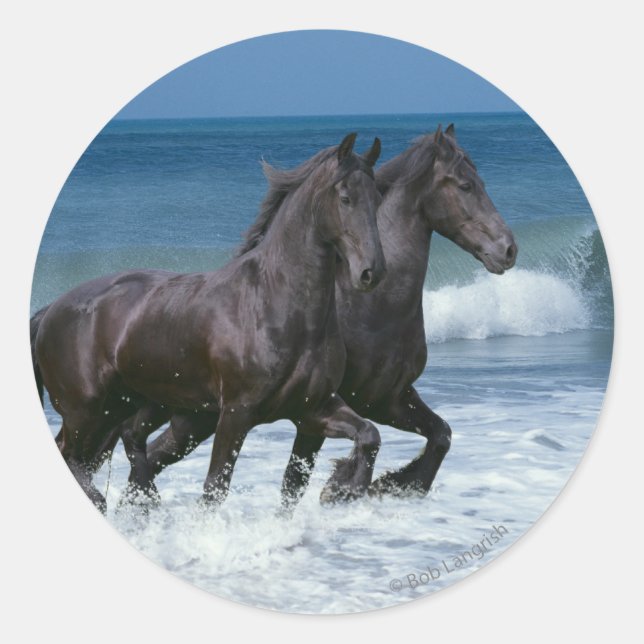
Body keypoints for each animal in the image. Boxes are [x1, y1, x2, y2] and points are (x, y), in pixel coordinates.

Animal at [31, 133, 386, 513]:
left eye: (378, 198)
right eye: (345, 197)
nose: (371, 272)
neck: (276, 306)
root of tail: (49, 310)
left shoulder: (312, 410)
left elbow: (355, 444)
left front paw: (343, 489)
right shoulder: (235, 413)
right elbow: (216, 488)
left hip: (135, 408)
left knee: (124, 441)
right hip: (86, 412)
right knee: (74, 456)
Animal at [140, 124, 517, 508]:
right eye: (465, 185)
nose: (508, 249)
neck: (375, 308)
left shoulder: (389, 399)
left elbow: (441, 434)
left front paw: (390, 485)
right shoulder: (327, 413)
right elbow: (294, 483)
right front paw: (341, 488)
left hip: (195, 418)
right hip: (189, 417)